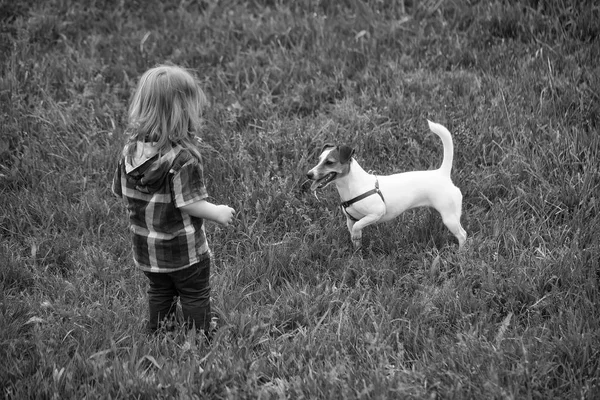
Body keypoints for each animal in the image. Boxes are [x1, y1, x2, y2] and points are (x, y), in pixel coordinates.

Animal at [308, 119, 466, 250]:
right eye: (319, 159)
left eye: (329, 162)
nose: (308, 174)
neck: (352, 187)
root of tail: (442, 173)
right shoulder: (350, 220)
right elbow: (355, 235)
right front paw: (356, 252)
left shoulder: (376, 213)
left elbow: (358, 227)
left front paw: (356, 235)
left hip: (450, 218)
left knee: (462, 235)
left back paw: (460, 254)